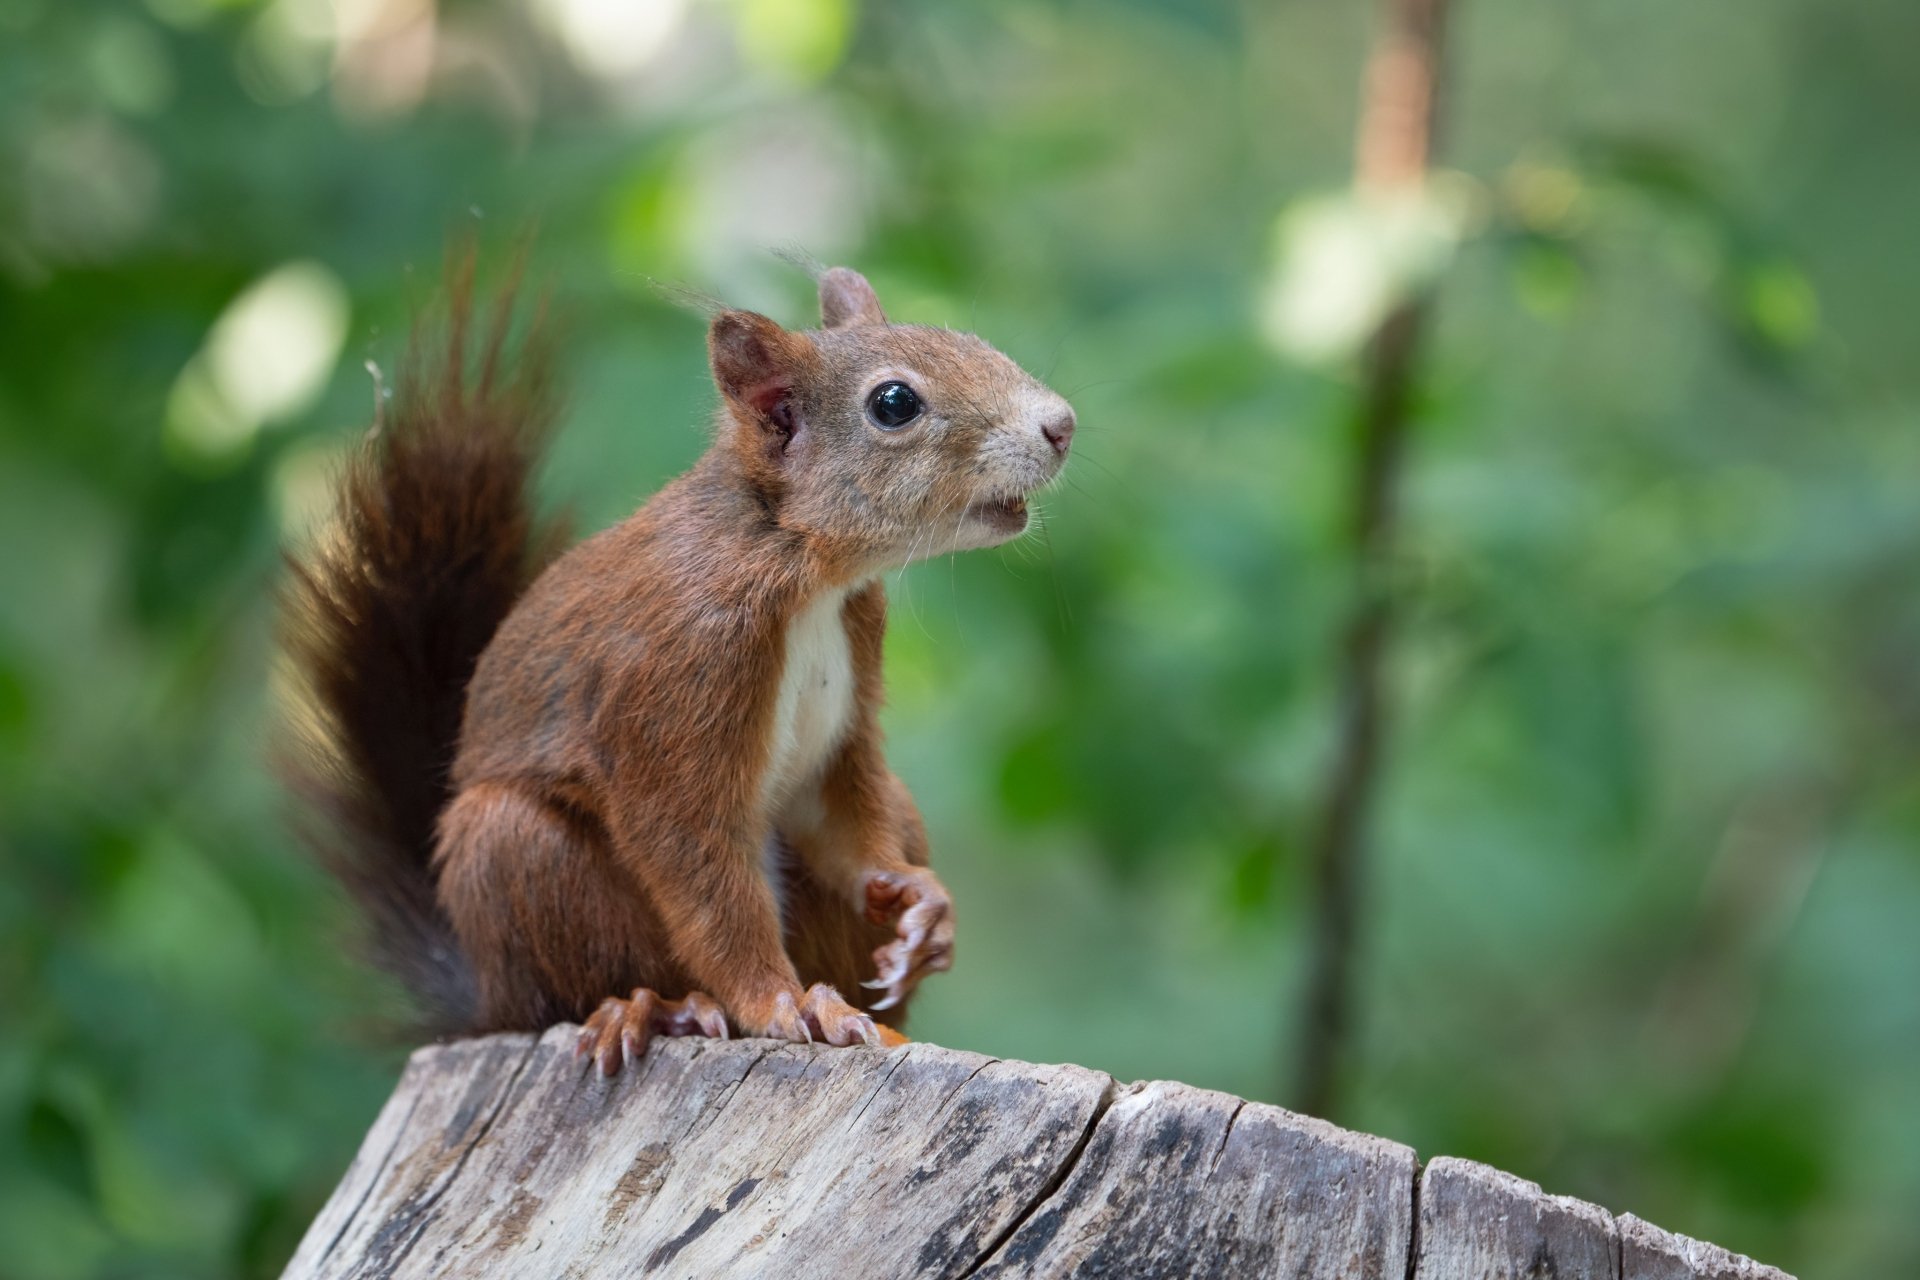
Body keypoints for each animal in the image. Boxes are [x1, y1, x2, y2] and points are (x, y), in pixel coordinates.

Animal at [284, 256, 1074, 1074]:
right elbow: (696, 864)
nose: (1062, 425)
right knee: (564, 981)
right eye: (894, 404)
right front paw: (780, 1003)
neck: (795, 566)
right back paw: (656, 1009)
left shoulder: (848, 696)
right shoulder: (677, 674)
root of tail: (482, 1001)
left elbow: (840, 815)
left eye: (970, 340)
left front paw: (919, 902)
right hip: (515, 857)